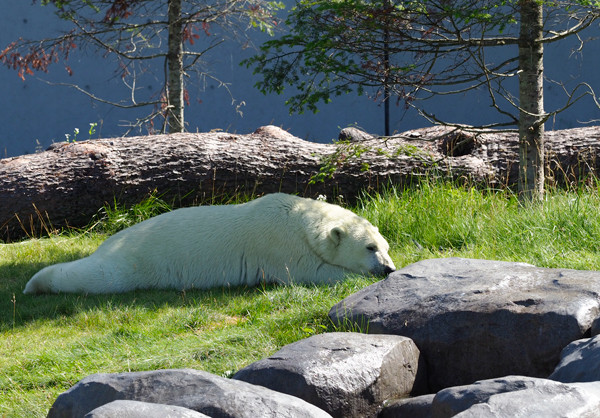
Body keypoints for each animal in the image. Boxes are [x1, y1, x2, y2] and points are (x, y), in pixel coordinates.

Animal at [23, 193, 396, 294]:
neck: (300, 218)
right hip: (134, 262)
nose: (388, 269)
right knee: (96, 276)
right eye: (369, 248)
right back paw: (34, 284)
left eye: (385, 246)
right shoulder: (280, 245)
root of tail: (111, 241)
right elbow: (312, 271)